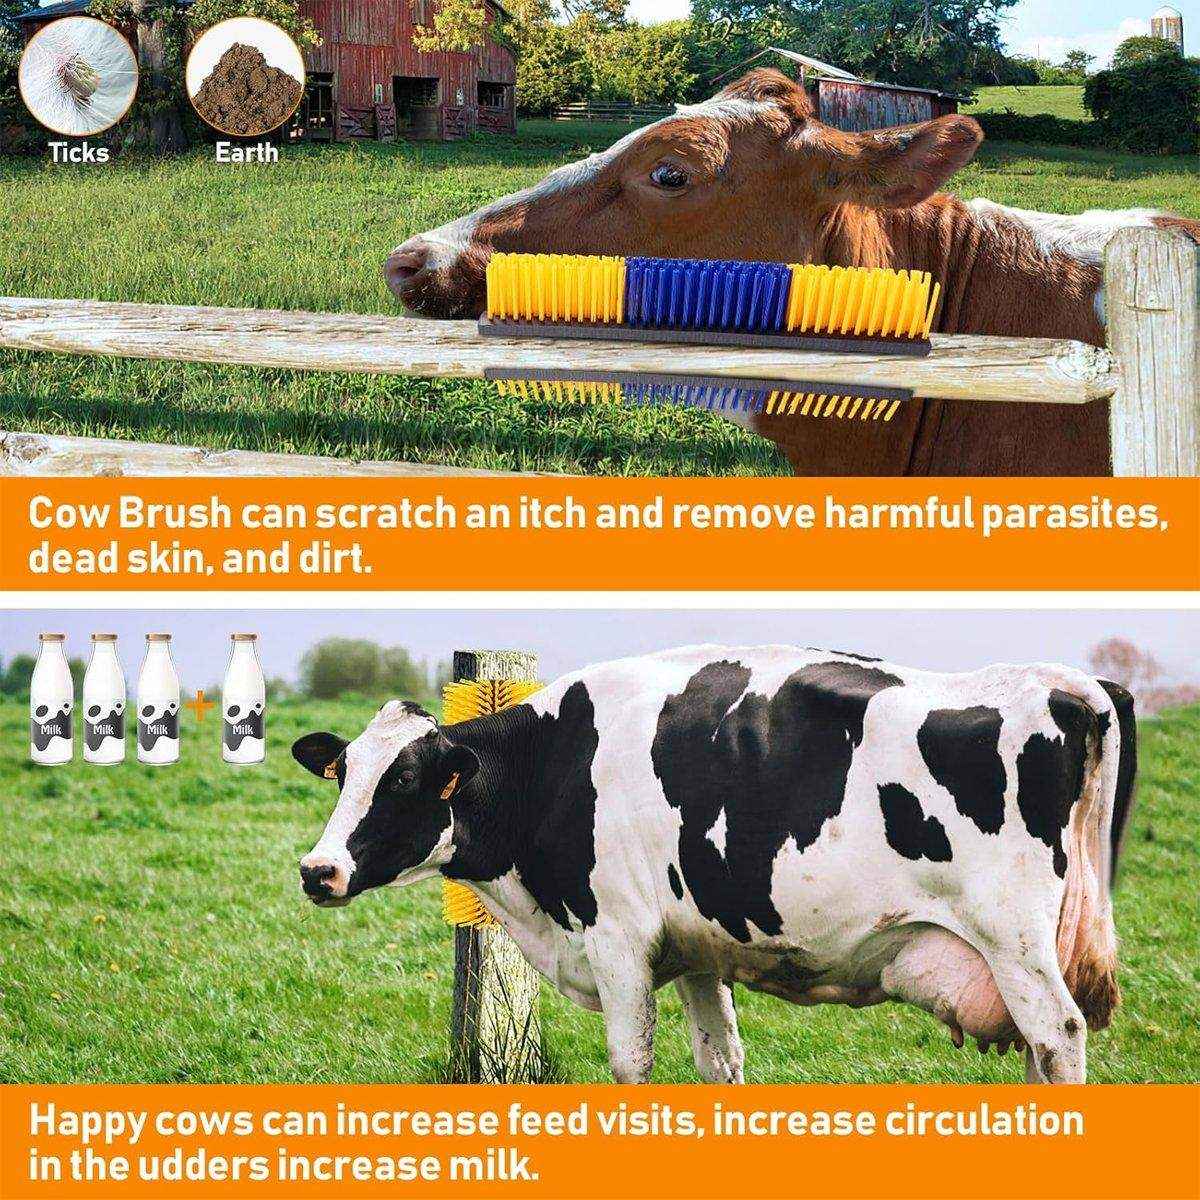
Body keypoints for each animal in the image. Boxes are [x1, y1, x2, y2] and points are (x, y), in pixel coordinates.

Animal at [294, 644, 1137, 1084]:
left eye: (405, 780)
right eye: (343, 773)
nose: (317, 869)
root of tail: (1054, 679)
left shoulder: (619, 941)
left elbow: (631, 1065)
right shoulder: (697, 948)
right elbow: (720, 1063)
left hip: (1014, 941)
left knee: (1059, 1034)